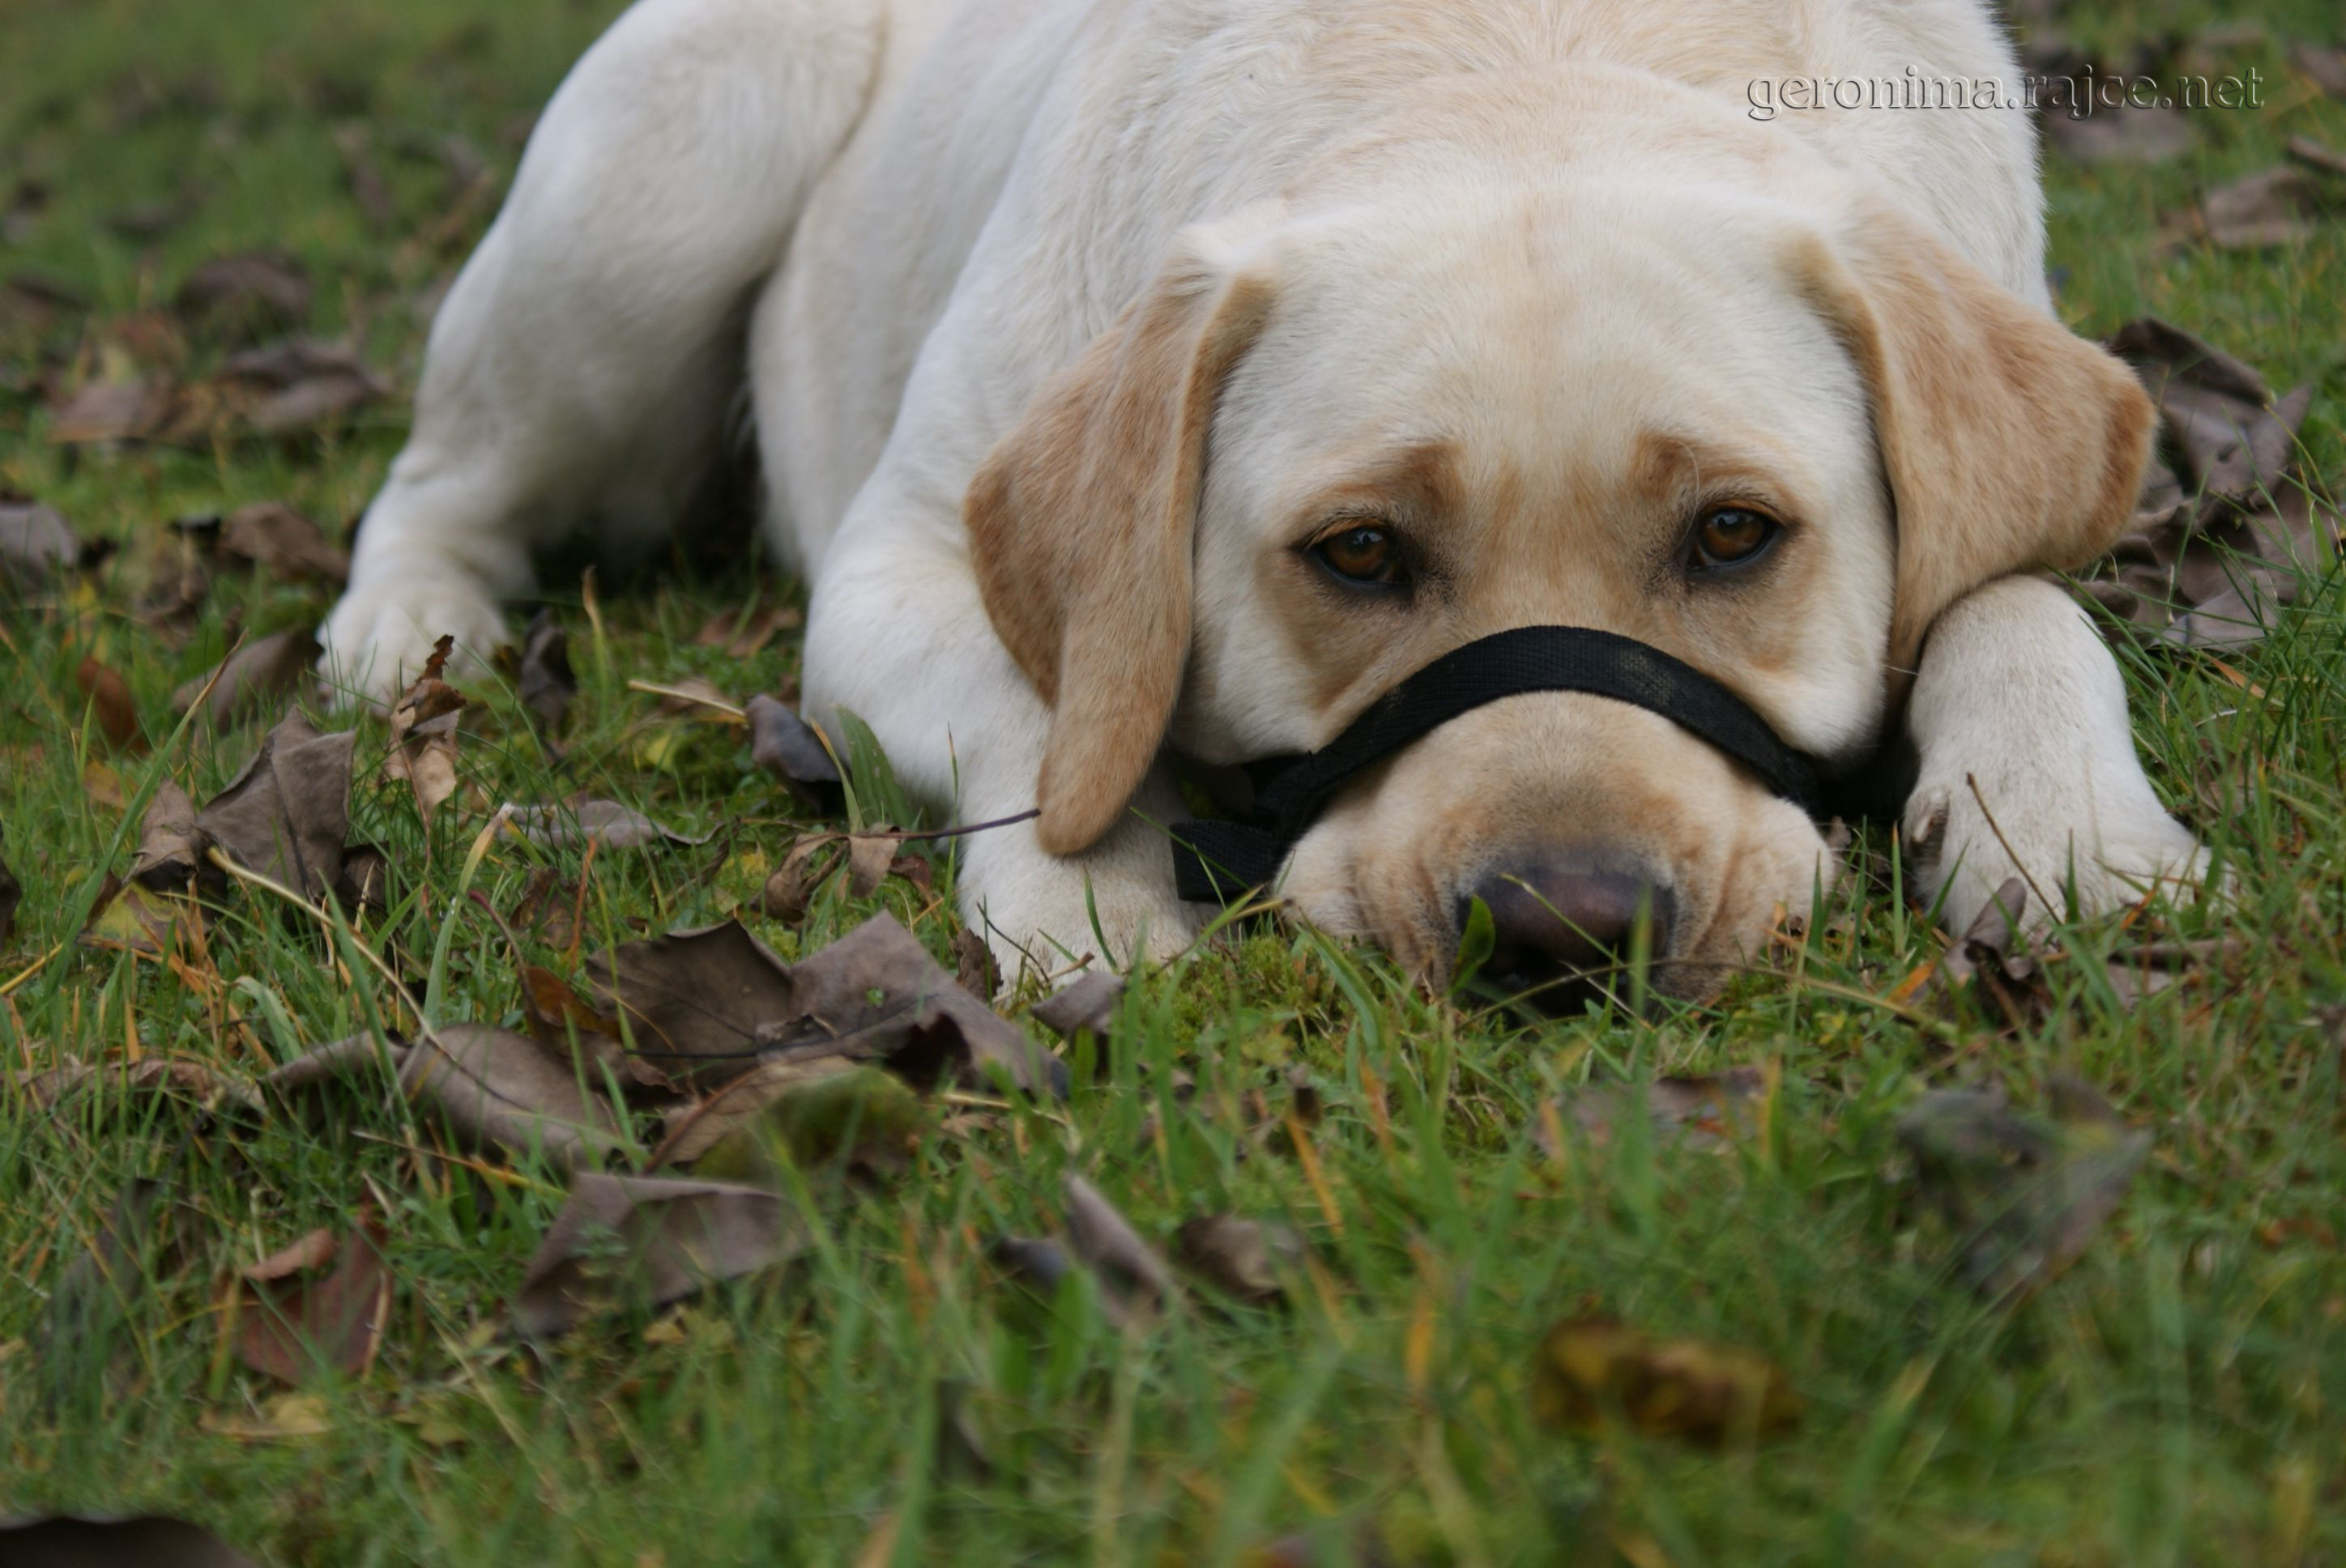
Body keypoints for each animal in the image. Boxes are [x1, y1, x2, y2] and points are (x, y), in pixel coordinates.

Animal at [319, 0, 2207, 995]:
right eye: (1357, 553)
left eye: (1734, 535)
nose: (1565, 930)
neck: (1513, 57)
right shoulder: (900, 555)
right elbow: (1052, 720)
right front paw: (1090, 907)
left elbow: (2016, 594)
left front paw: (2061, 827)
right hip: (654, 193)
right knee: (438, 477)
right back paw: (404, 638)